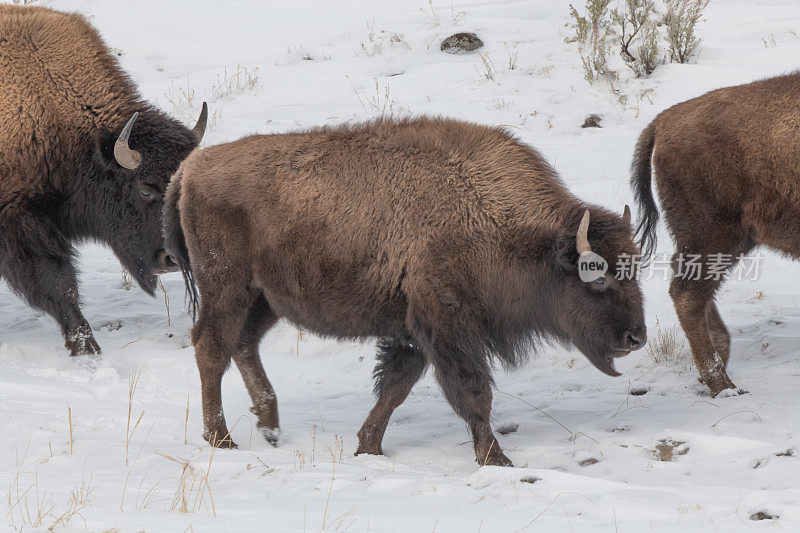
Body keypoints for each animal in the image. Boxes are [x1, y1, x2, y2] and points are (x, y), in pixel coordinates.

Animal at [166, 117, 648, 466]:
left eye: (634, 267)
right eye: (596, 275)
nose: (635, 337)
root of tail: (192, 167)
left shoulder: (412, 331)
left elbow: (396, 387)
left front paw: (368, 448)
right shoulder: (445, 323)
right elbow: (473, 392)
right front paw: (496, 459)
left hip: (266, 298)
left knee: (243, 344)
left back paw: (269, 427)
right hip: (227, 286)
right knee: (212, 347)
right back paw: (221, 439)